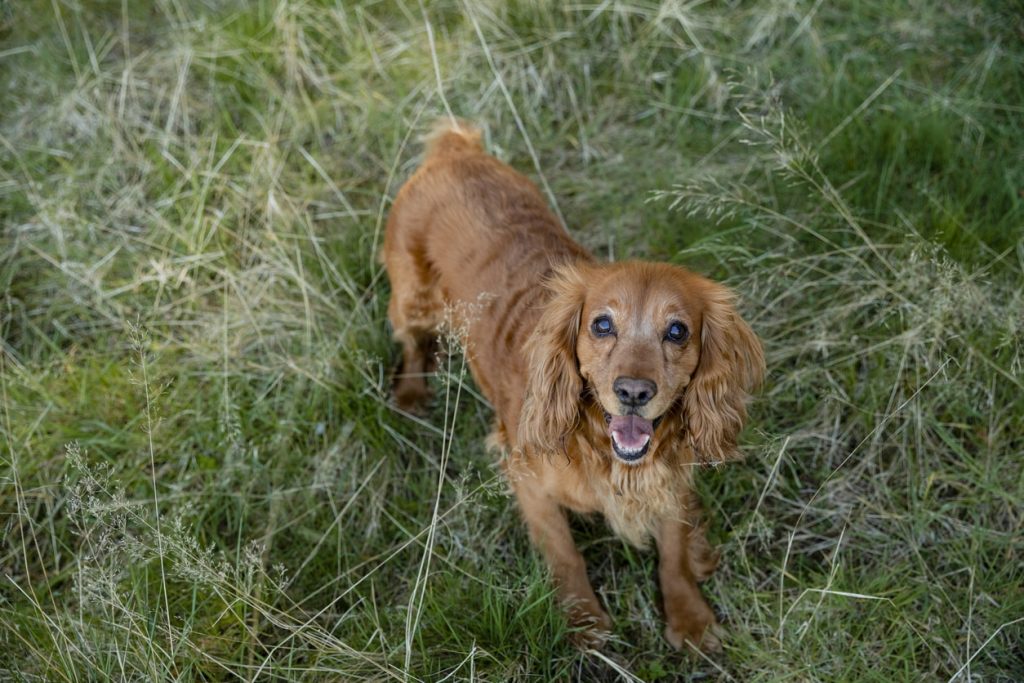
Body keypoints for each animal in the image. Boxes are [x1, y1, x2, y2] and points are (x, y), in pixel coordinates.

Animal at [382, 122, 761, 651]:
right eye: (602, 325)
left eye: (677, 331)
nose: (634, 392)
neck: (606, 452)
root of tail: (454, 149)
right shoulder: (525, 475)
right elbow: (564, 551)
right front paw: (584, 619)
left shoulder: (671, 476)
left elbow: (673, 548)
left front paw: (690, 617)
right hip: (412, 298)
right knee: (414, 343)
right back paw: (413, 395)